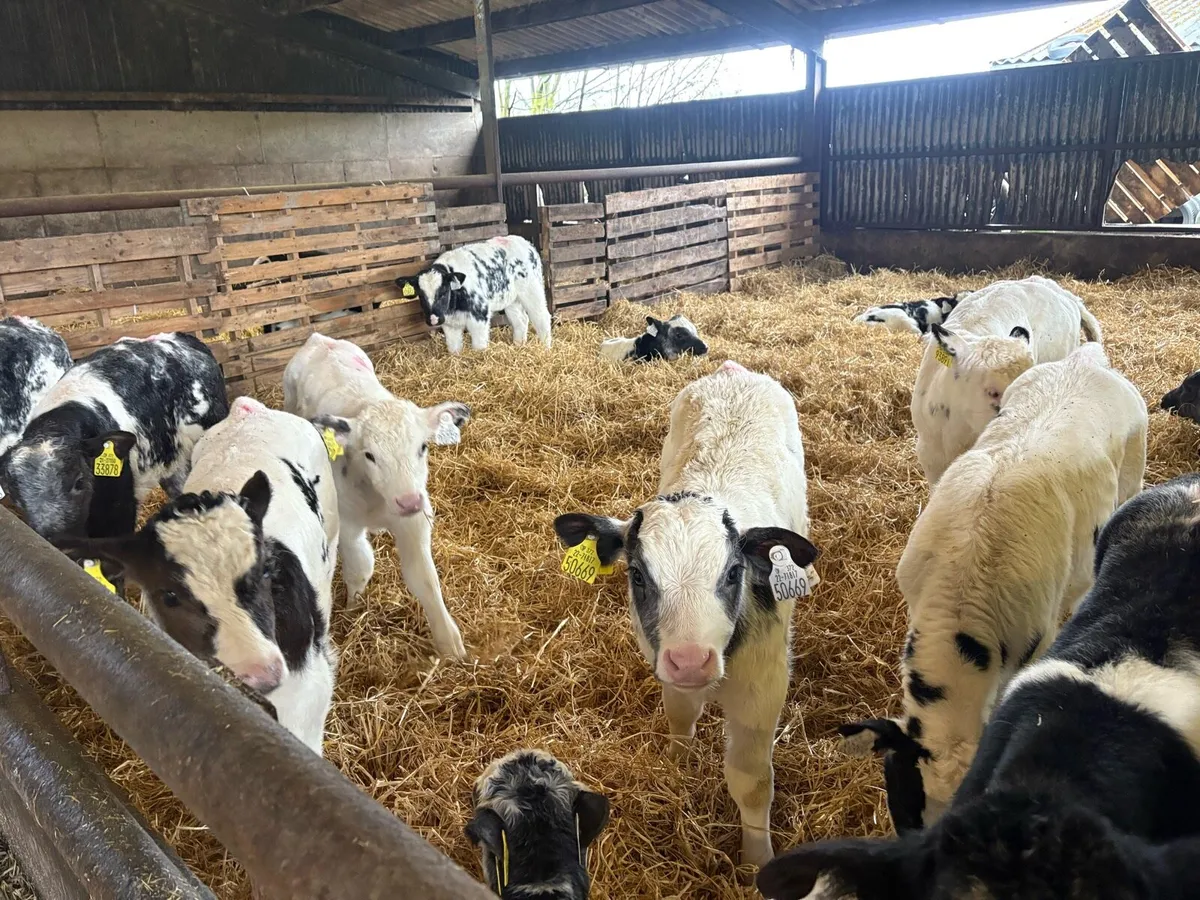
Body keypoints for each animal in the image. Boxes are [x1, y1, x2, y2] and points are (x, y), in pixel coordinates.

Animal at [282, 332, 470, 659]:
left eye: (423, 447)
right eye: (369, 455)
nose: (408, 501)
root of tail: (318, 338)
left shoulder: (415, 521)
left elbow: (424, 578)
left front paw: (449, 644)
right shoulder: (347, 523)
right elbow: (361, 566)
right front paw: (353, 608)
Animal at [396, 235, 551, 355]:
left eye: (444, 292)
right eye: (420, 295)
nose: (433, 319)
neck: (454, 306)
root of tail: (525, 242)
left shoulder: (479, 316)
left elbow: (479, 346)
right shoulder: (449, 325)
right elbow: (454, 349)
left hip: (532, 290)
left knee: (541, 317)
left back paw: (546, 348)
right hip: (511, 299)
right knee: (521, 320)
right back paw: (518, 345)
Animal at [553, 360, 821, 865]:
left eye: (734, 572)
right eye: (638, 575)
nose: (692, 661)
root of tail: (733, 370)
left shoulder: (763, 693)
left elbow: (751, 784)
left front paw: (757, 860)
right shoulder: (664, 664)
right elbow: (679, 715)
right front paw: (677, 764)